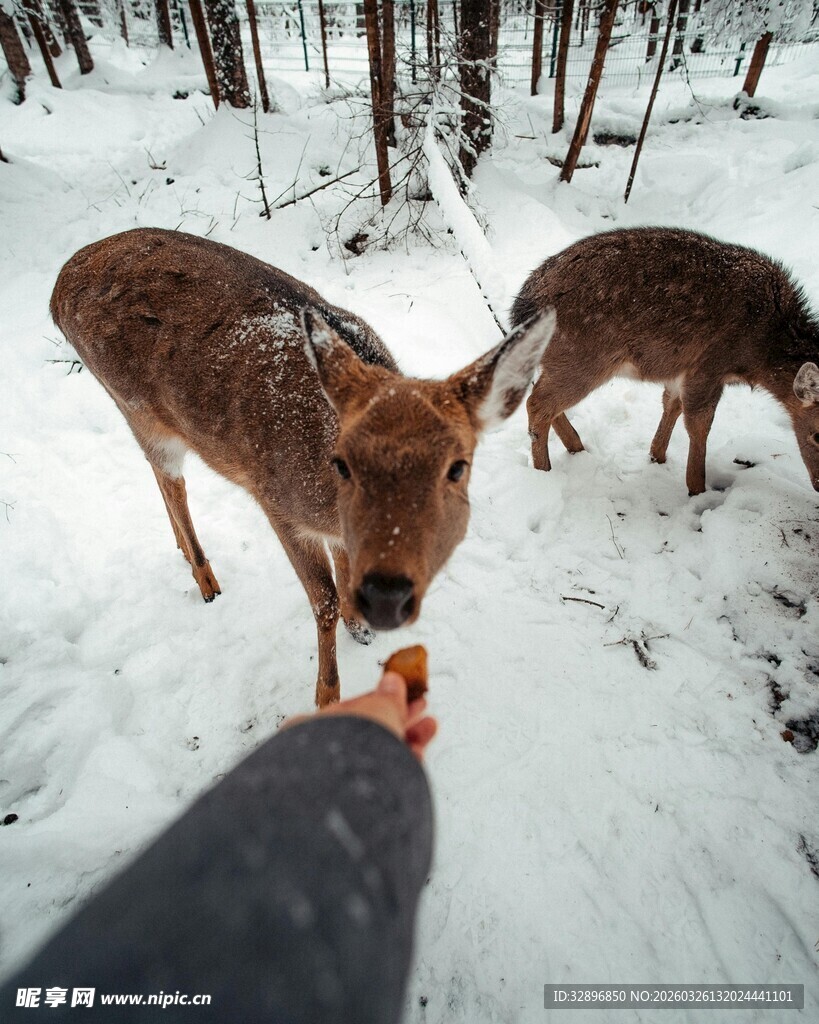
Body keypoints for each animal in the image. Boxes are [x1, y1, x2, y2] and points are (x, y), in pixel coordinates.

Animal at [51, 228, 555, 706]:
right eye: (343, 465)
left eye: (458, 467)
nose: (389, 596)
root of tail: (57, 289)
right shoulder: (278, 503)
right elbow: (324, 600)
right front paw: (327, 695)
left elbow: (344, 563)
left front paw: (360, 627)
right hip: (132, 403)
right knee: (169, 477)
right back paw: (206, 578)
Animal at [510, 227, 819, 496]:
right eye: (817, 434)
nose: (818, 486)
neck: (762, 348)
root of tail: (523, 306)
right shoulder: (709, 365)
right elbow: (698, 424)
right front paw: (697, 489)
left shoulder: (682, 369)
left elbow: (671, 404)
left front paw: (656, 456)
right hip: (582, 357)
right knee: (537, 403)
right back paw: (544, 471)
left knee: (539, 393)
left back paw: (576, 446)